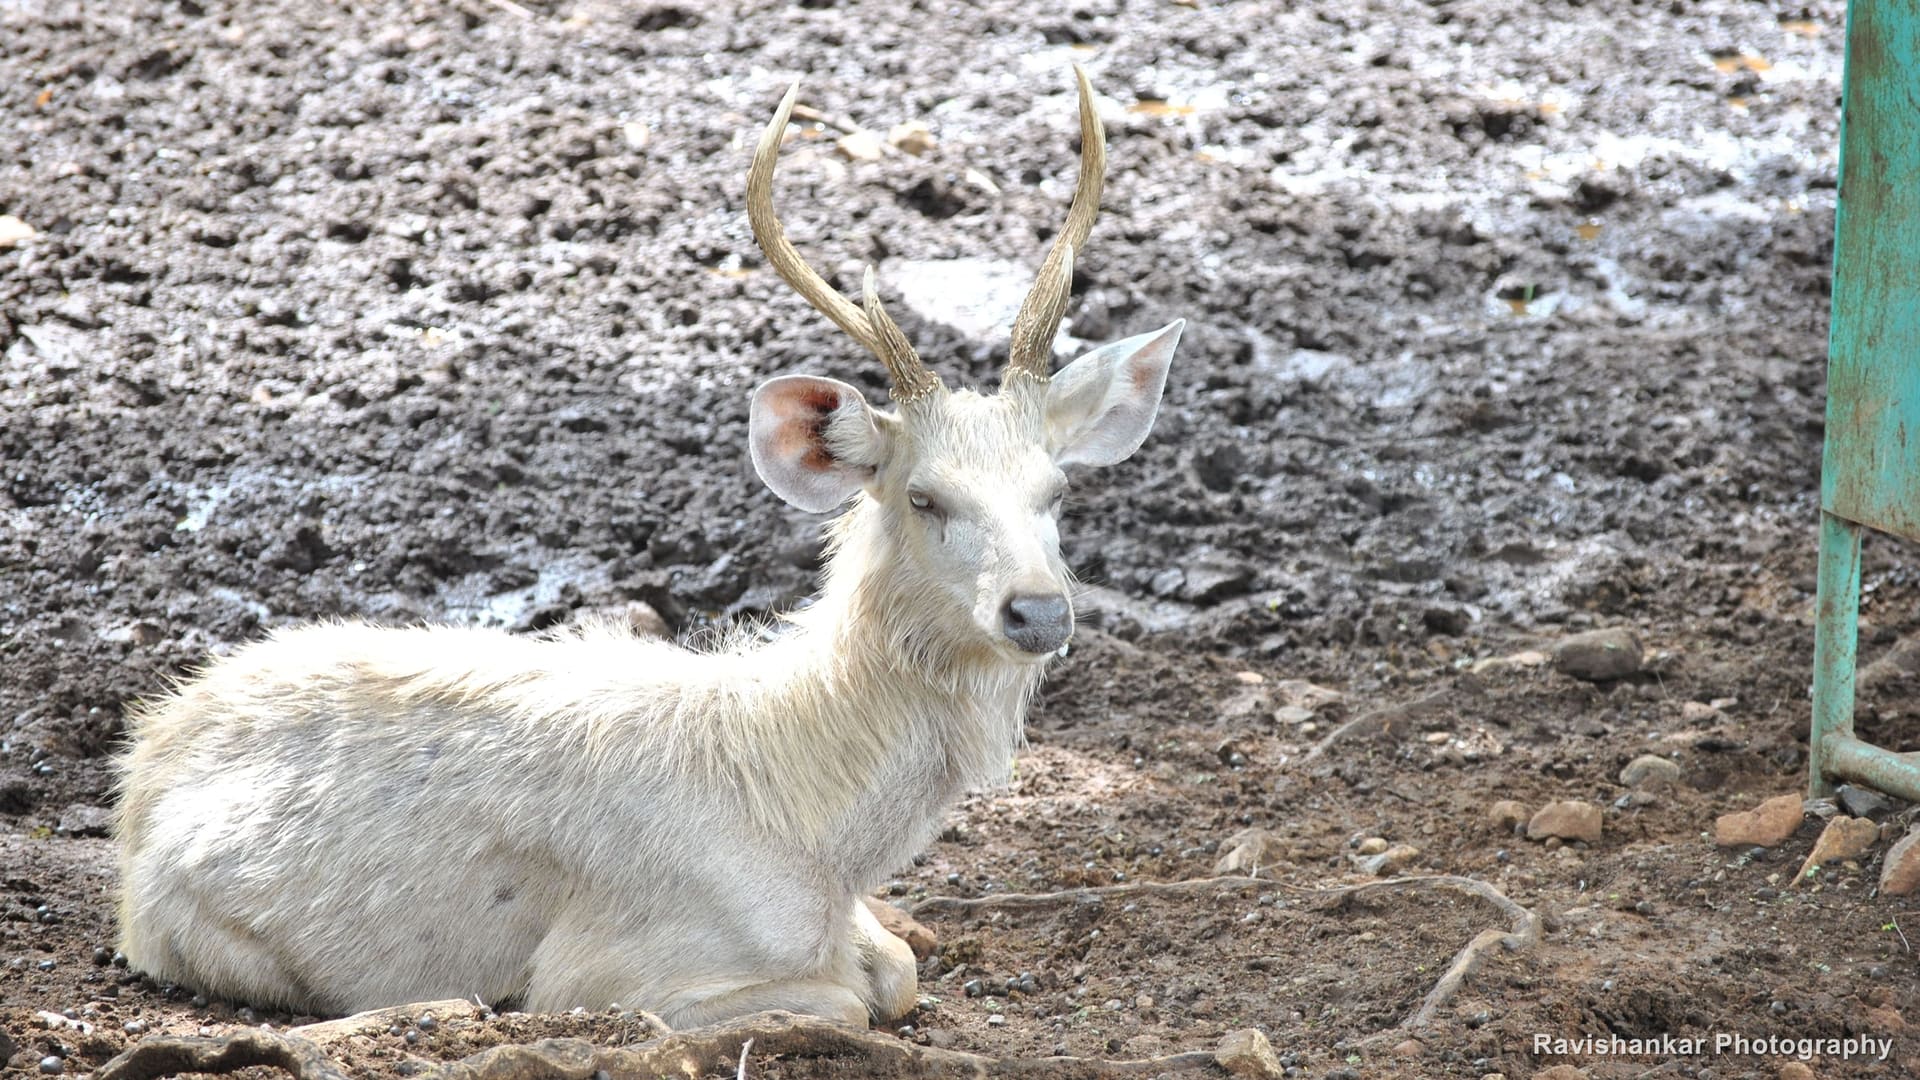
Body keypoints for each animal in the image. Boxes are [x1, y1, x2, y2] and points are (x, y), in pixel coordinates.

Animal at [113, 66, 1186, 1029]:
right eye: (924, 496)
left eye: (1056, 492)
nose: (1037, 610)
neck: (820, 838)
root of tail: (141, 763)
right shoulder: (603, 969)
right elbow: (846, 1000)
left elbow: (899, 973)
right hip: (191, 931)